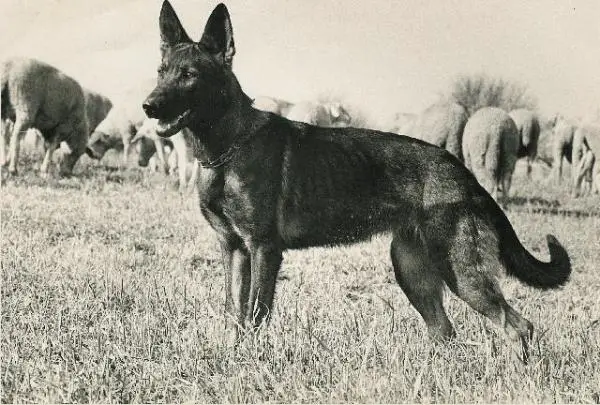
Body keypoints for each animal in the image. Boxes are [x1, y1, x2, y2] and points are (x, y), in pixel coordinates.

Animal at [144, 0, 572, 360]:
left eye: (189, 76)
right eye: (162, 73)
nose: (148, 106)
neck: (230, 147)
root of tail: (463, 173)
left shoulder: (264, 249)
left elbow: (255, 313)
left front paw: (251, 360)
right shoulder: (234, 249)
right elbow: (234, 312)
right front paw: (232, 356)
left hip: (460, 273)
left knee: (518, 325)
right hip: (412, 272)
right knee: (445, 331)